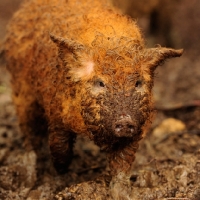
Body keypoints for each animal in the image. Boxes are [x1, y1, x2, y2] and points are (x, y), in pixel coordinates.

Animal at [2, 0, 183, 198]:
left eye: (138, 83)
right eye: (100, 83)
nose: (125, 120)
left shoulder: (136, 130)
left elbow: (122, 165)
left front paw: (122, 193)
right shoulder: (57, 114)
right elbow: (59, 147)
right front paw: (61, 172)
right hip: (22, 92)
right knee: (29, 133)